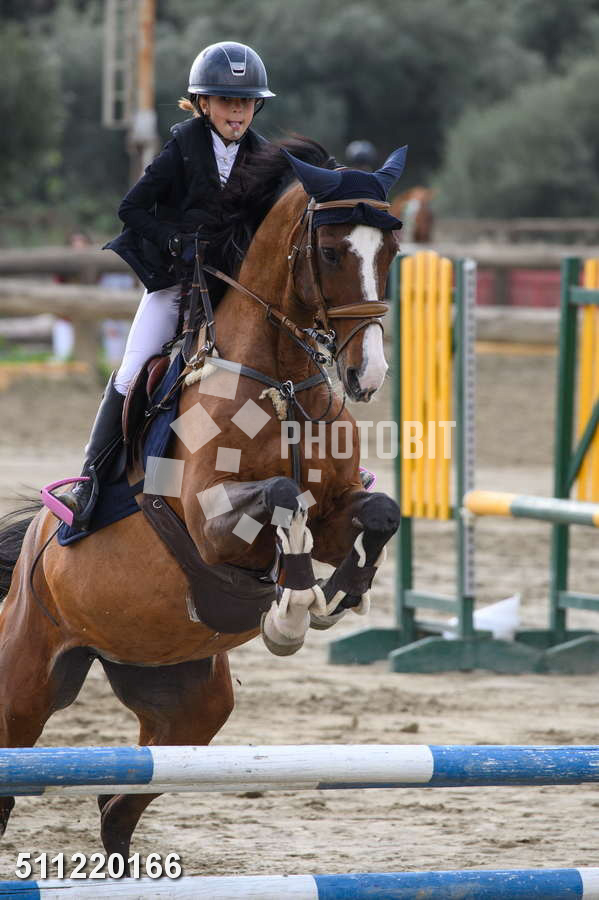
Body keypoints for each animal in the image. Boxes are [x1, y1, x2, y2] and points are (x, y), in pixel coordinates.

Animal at [0, 138, 404, 865]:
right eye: (332, 252)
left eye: (390, 251)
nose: (368, 375)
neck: (281, 385)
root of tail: (31, 552)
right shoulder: (212, 529)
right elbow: (279, 499)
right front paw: (291, 610)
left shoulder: (338, 509)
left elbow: (375, 512)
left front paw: (339, 594)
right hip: (25, 682)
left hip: (186, 700)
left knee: (119, 805)